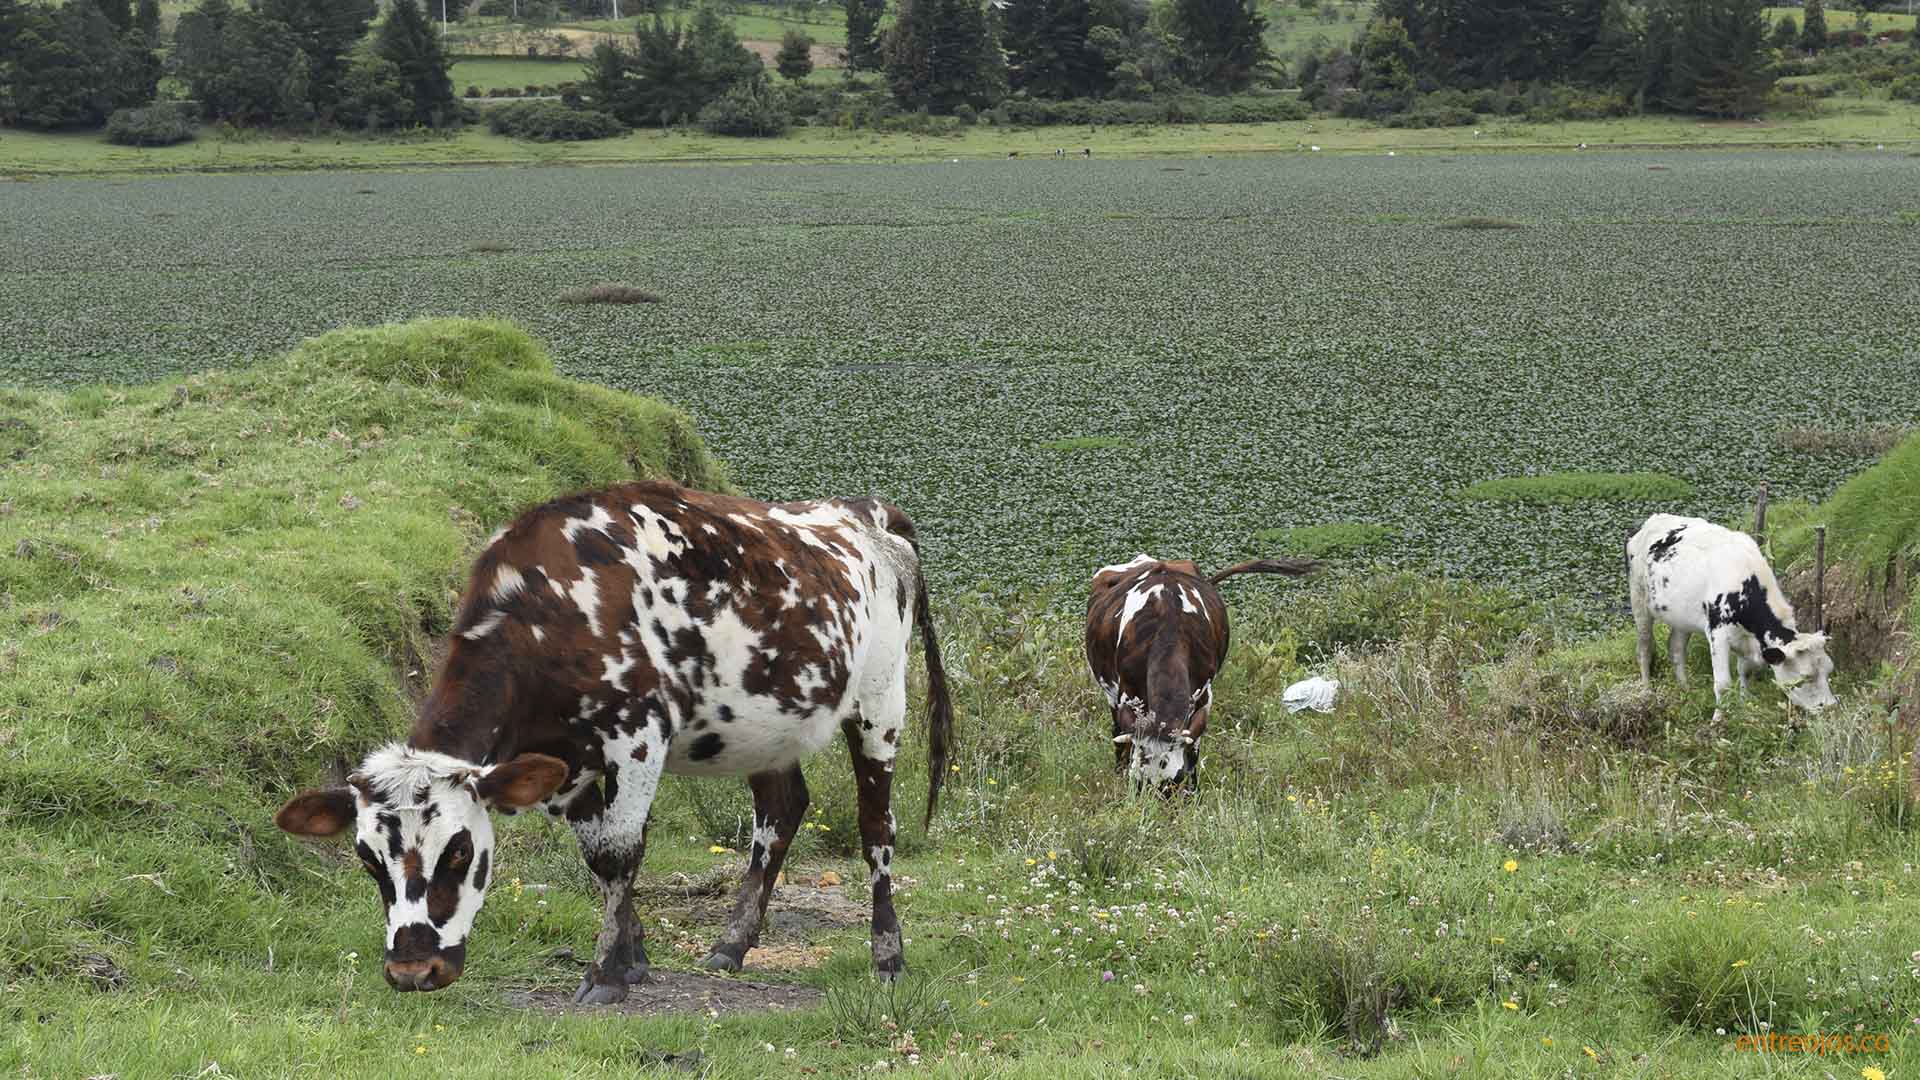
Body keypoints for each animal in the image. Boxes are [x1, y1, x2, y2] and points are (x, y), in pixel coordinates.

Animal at [276, 480, 952, 999]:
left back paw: (888, 955)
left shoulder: (638, 734)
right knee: (781, 810)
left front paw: (606, 973)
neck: (555, 610)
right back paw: (732, 944)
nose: (415, 970)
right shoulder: (565, 762)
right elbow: (598, 856)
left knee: (876, 825)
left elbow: (621, 850)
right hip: (766, 726)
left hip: (881, 703)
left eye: (462, 852)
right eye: (368, 860)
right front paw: (633, 956)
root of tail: (860, 510)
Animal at [1082, 553, 1320, 791]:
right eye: (1138, 782)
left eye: (1176, 779)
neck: (1167, 625)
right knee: (1117, 732)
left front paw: (1194, 790)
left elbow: (1194, 747)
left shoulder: (1203, 695)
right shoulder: (1127, 694)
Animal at [1628, 511, 1835, 714]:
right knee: (1644, 647)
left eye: (1829, 669)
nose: (1831, 707)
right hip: (1638, 598)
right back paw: (1647, 692)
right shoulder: (1717, 632)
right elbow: (1723, 685)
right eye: (1806, 676)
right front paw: (1719, 718)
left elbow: (1745, 671)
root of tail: (1652, 520)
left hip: (1681, 616)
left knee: (1676, 649)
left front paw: (1744, 703)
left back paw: (1686, 690)